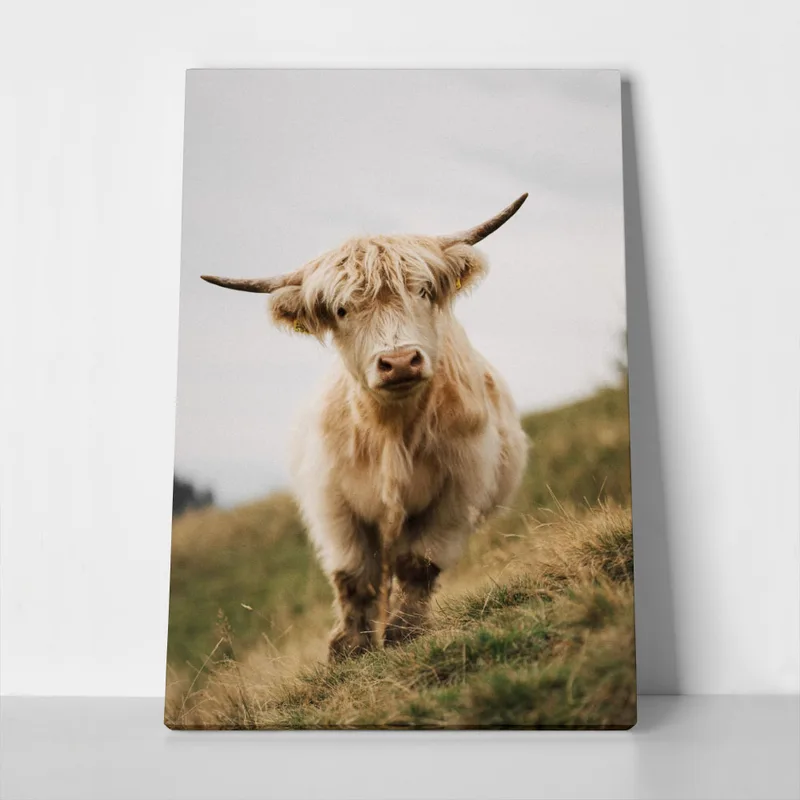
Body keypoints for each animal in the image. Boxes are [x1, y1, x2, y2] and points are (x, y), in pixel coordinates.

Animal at [202, 194, 529, 660]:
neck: (391, 428)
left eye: (422, 291)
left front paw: (405, 632)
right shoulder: (333, 502)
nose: (399, 362)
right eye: (342, 309)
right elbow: (353, 575)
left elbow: (419, 563)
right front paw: (348, 649)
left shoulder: (457, 492)